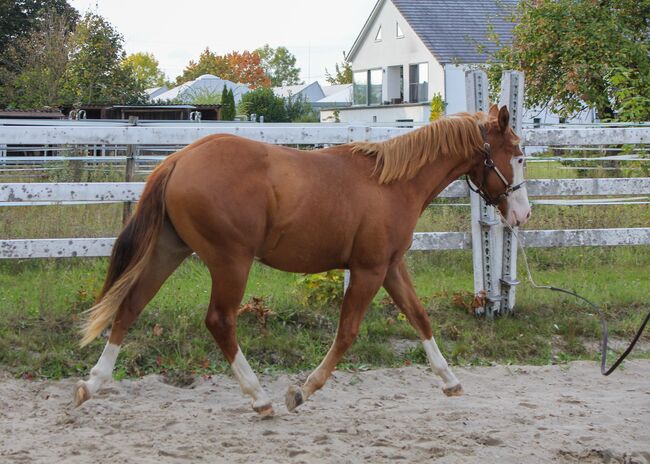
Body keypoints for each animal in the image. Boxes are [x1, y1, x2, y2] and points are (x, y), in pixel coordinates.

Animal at [74, 104, 531, 416]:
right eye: (518, 154)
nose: (523, 215)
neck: (393, 183)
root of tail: (178, 158)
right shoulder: (368, 270)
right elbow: (347, 333)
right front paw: (301, 391)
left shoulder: (390, 266)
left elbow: (419, 317)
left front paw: (450, 380)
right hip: (230, 260)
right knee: (220, 321)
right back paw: (259, 398)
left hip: (171, 249)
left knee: (131, 305)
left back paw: (92, 383)